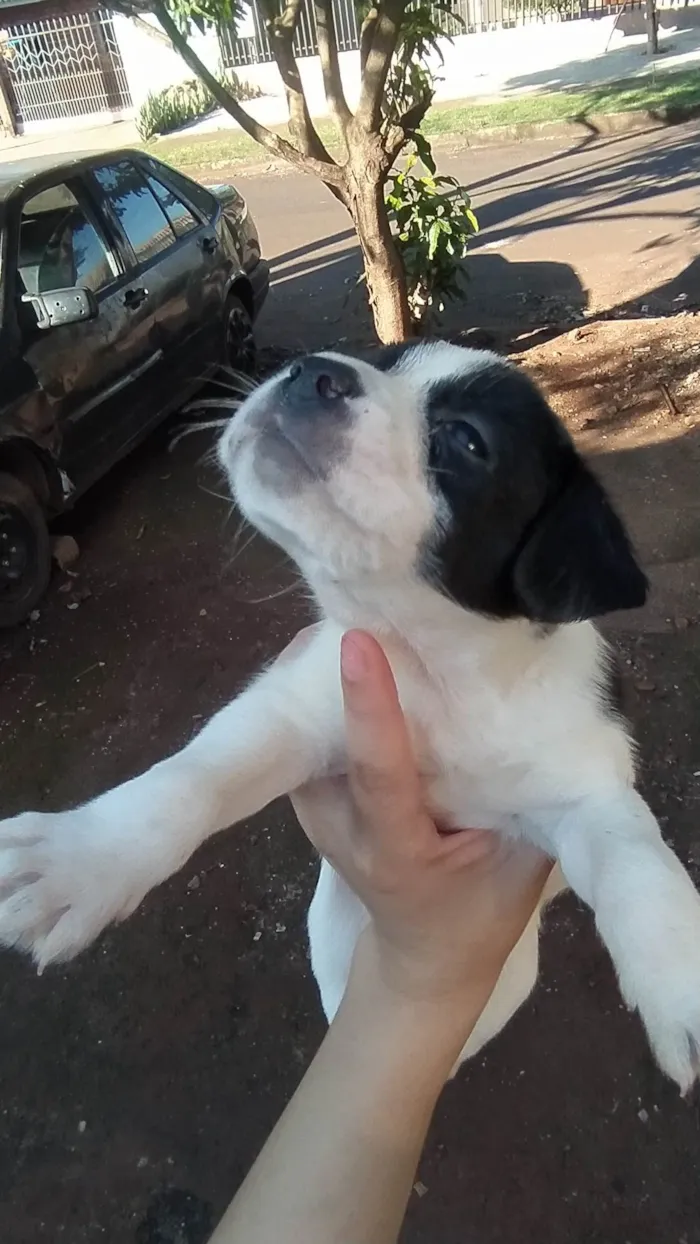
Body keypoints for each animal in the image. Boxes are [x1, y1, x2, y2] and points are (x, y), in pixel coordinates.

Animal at [1, 343, 700, 1089]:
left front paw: (678, 975)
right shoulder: (290, 713)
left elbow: (633, 858)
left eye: (465, 440)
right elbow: (188, 782)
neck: (432, 669)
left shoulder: (582, 787)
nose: (315, 371)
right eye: (378, 360)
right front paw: (80, 856)